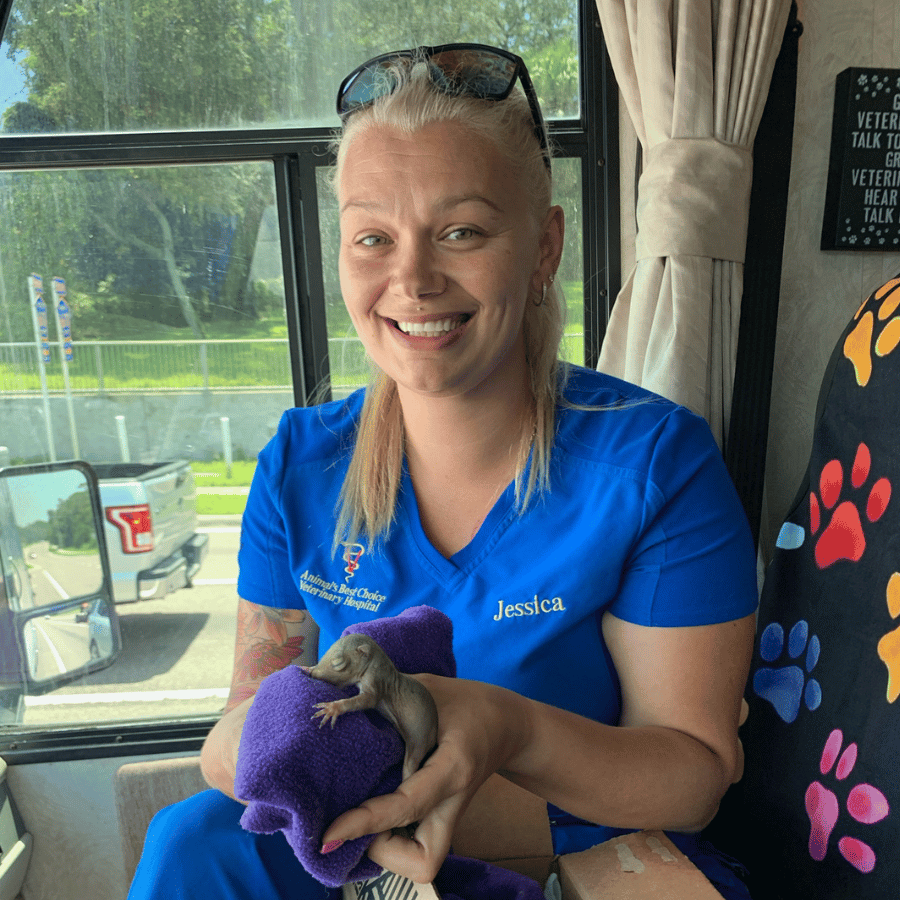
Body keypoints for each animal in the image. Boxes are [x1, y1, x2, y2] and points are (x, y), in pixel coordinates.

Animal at [302, 632, 440, 780]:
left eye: (338, 663)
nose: (313, 674)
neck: (377, 658)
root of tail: (434, 737)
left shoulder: (375, 676)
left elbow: (369, 700)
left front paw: (333, 708)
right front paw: (307, 668)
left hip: (421, 740)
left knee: (411, 763)